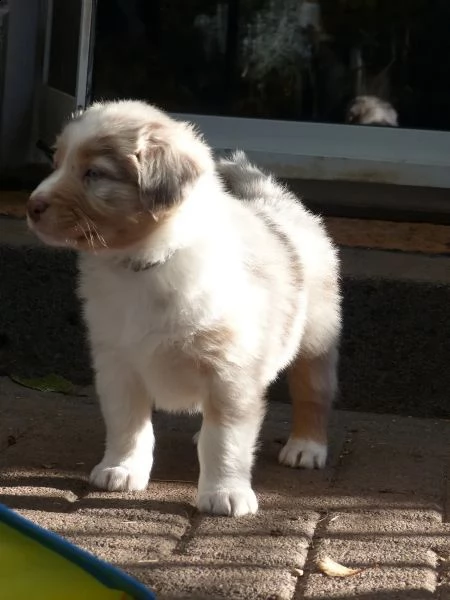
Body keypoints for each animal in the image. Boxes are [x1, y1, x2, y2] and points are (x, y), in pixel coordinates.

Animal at [26, 101, 340, 516]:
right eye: (56, 162)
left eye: (94, 173)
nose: (31, 206)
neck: (146, 264)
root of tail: (275, 201)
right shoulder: (117, 363)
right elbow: (127, 423)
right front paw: (121, 469)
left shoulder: (231, 372)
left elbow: (225, 439)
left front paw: (225, 493)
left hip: (317, 335)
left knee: (313, 391)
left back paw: (307, 447)